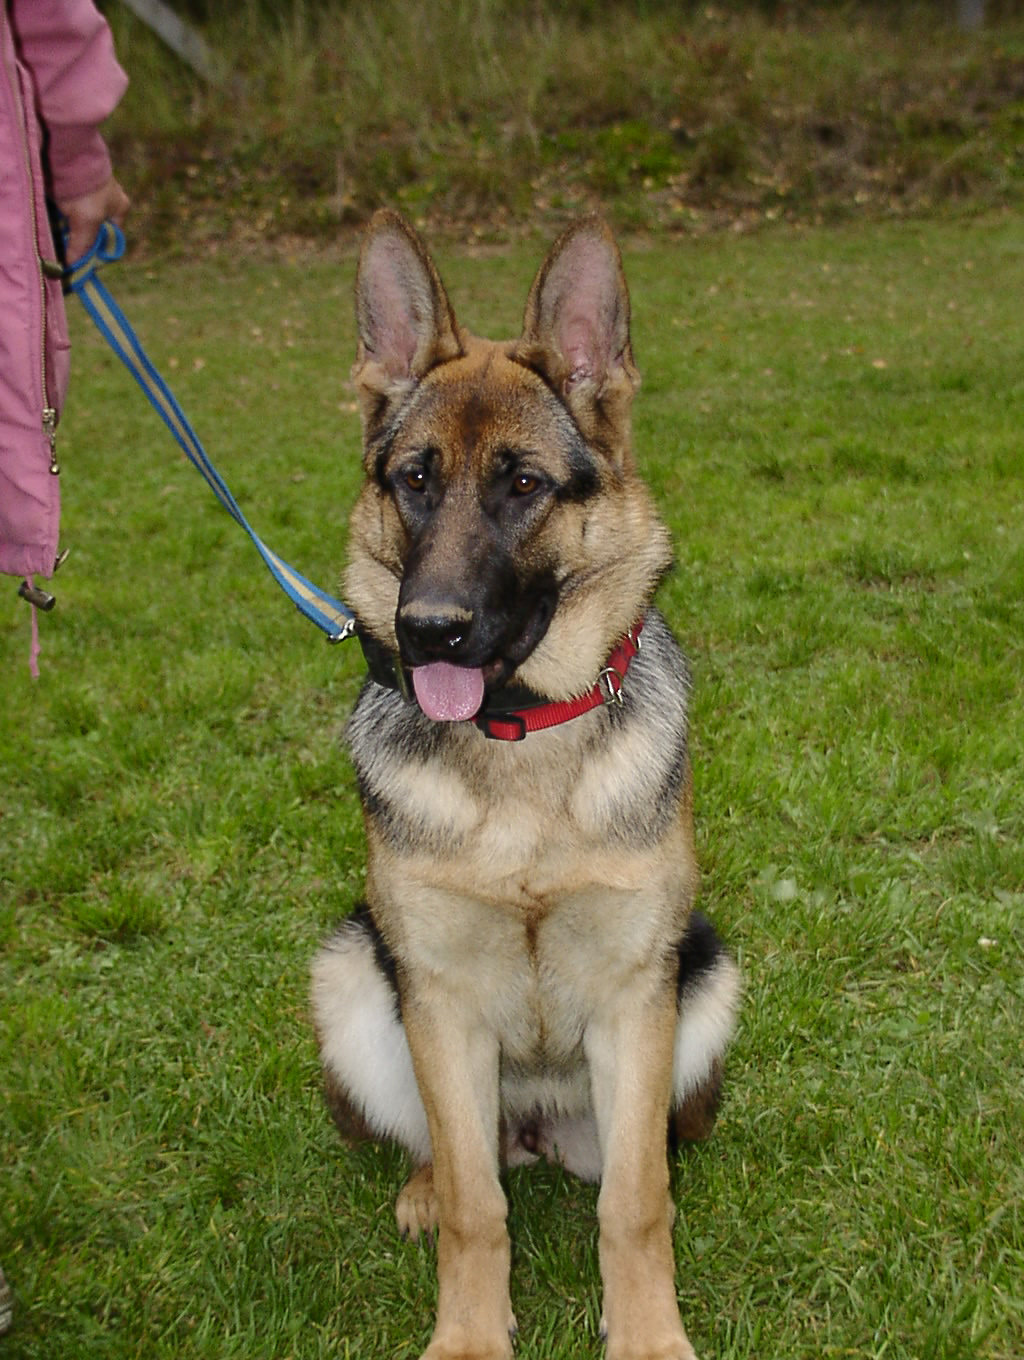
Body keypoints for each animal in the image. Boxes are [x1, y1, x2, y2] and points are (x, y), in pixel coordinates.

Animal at [311, 210, 739, 1360]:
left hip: (705, 976)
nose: (428, 630)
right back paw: (422, 1185)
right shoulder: (440, 1002)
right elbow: (477, 1206)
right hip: (356, 976)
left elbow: (634, 1204)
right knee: (452, 1155)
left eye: (523, 485)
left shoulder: (637, 998)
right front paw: (468, 1334)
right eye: (414, 479)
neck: (518, 745)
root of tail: (537, 1129)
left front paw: (648, 1334)